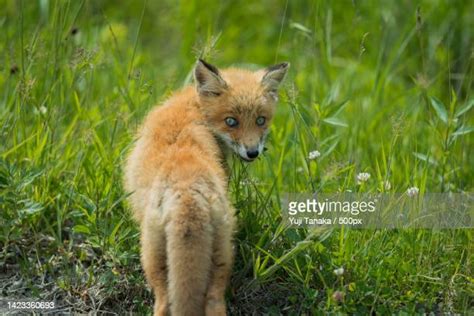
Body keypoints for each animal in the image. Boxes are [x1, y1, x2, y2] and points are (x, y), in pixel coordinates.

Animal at [123, 59, 288, 316]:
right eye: (231, 121)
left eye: (260, 120)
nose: (252, 152)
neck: (197, 107)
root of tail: (187, 192)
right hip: (217, 252)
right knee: (212, 303)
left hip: (153, 257)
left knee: (168, 302)